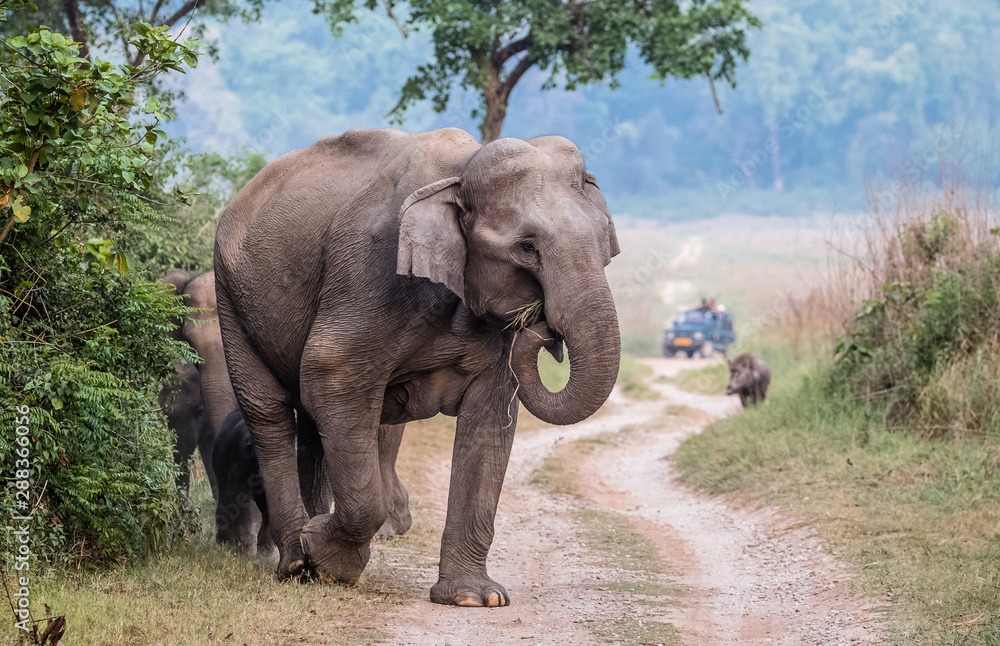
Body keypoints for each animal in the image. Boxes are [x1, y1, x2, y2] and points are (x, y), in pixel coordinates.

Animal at [216, 129, 620, 612]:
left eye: (605, 244)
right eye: (527, 247)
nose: (540, 326)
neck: (461, 170)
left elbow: (490, 419)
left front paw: (475, 599)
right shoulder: (372, 270)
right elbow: (330, 371)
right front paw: (331, 565)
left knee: (313, 425)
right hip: (230, 296)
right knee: (270, 411)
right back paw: (296, 563)